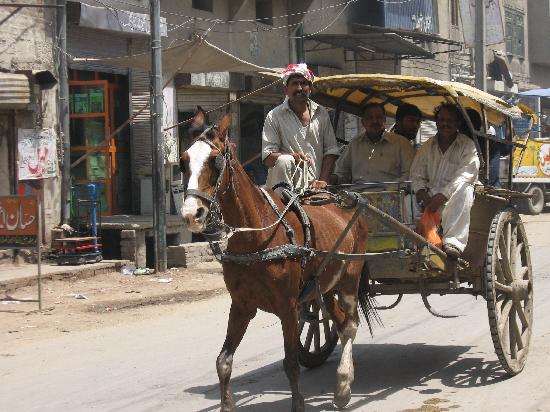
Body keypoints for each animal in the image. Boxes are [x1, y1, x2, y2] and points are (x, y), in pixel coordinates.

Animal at [181, 111, 376, 410]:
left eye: (215, 160)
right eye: (183, 161)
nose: (192, 214)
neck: (257, 237)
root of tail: (341, 199)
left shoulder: (288, 307)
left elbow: (291, 363)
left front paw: (299, 403)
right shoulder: (242, 305)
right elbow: (223, 361)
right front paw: (226, 403)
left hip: (349, 279)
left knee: (351, 324)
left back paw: (343, 385)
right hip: (323, 287)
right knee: (341, 324)